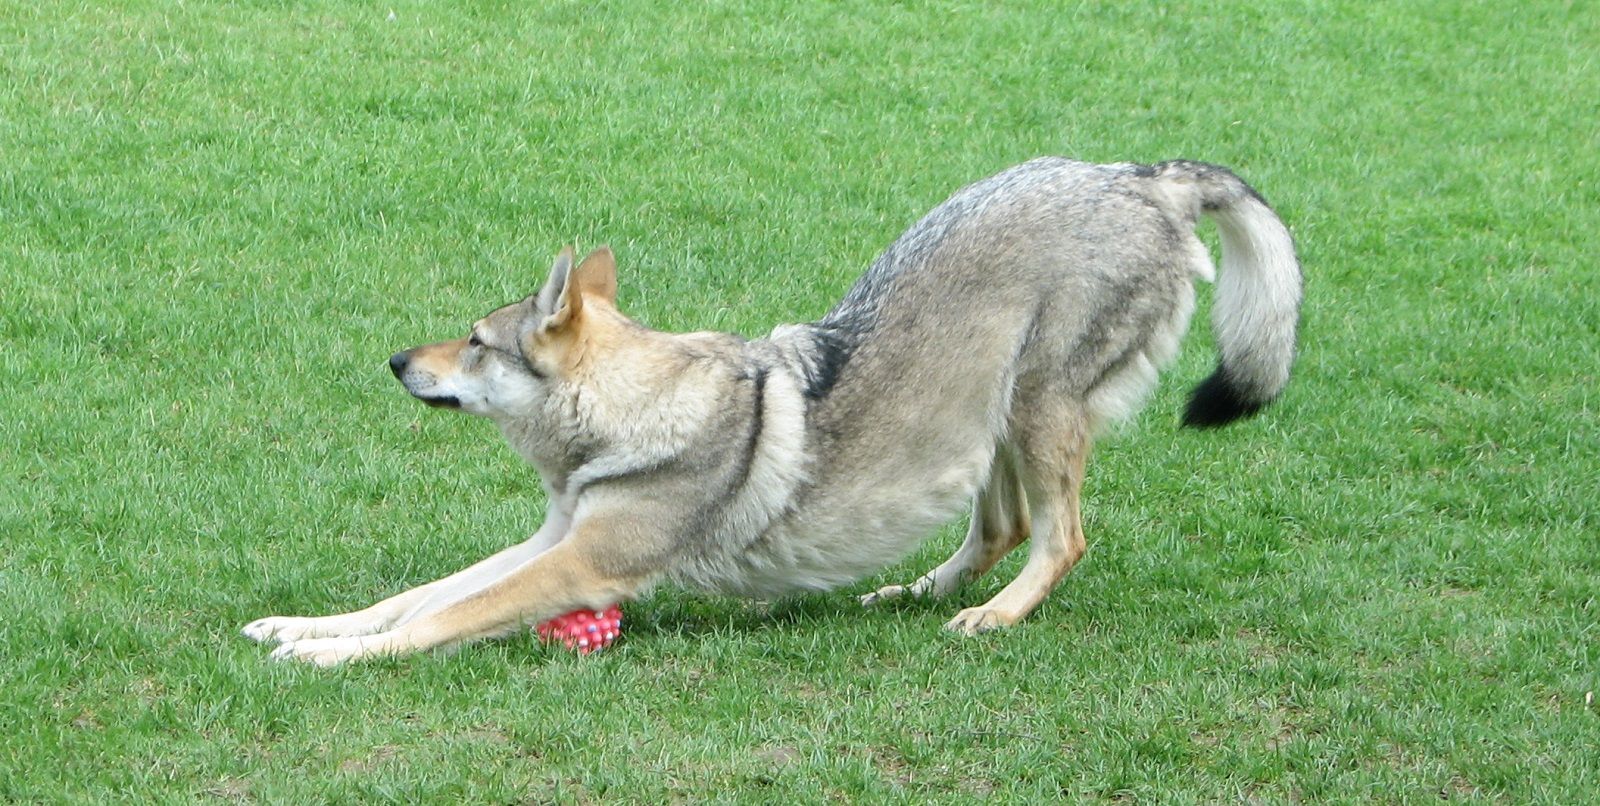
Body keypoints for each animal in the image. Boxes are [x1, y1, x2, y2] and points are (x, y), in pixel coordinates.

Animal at [246, 154, 1299, 665]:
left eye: (473, 339)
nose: (394, 360)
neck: (630, 420)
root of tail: (1144, 176)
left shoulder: (578, 567)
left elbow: (434, 620)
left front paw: (326, 662)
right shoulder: (549, 544)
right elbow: (415, 596)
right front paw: (303, 629)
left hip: (1039, 414)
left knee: (1061, 540)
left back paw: (993, 619)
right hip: (988, 421)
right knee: (998, 531)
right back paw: (914, 596)